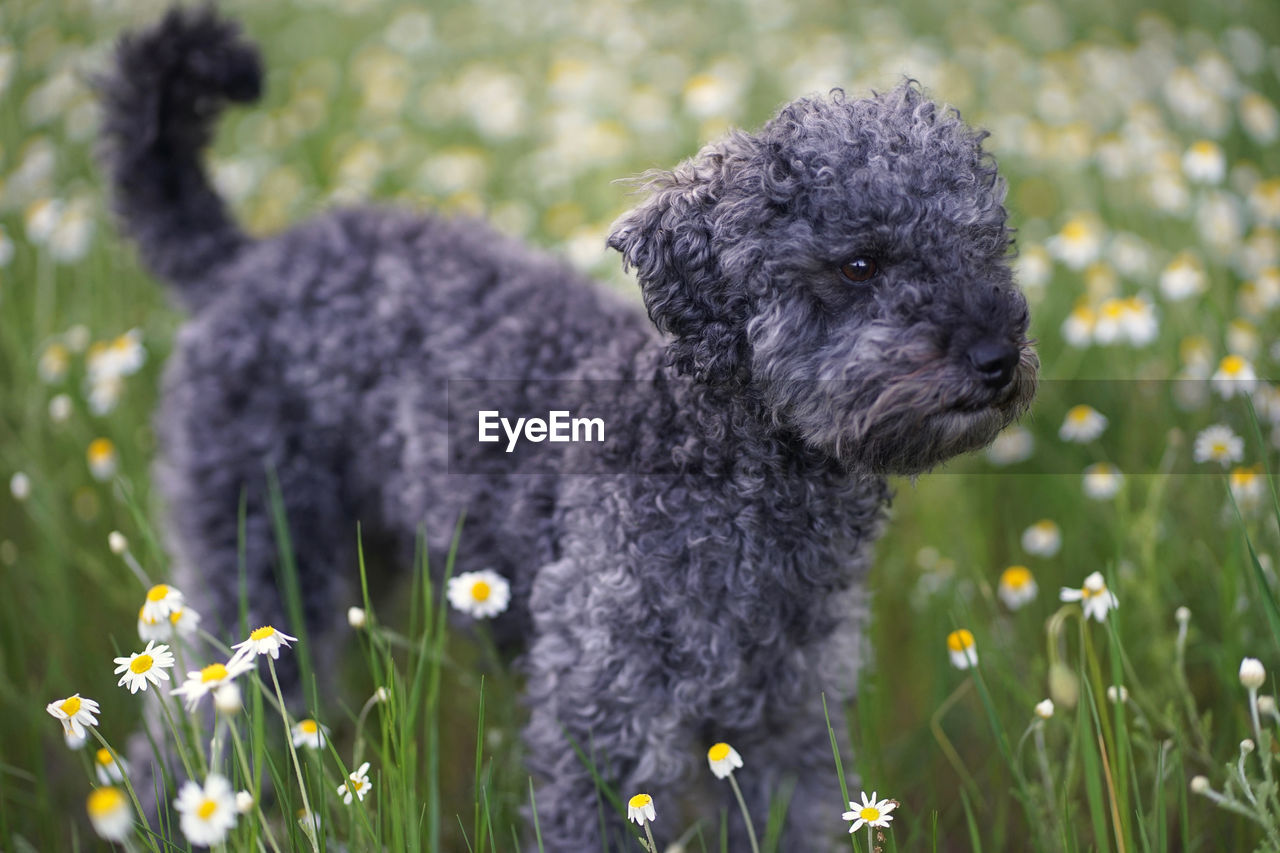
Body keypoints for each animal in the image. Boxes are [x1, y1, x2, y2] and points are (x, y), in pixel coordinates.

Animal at [99, 8, 1039, 850]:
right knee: (187, 748)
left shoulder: (788, 724)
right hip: (260, 571)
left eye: (984, 248)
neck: (718, 463)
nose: (997, 356)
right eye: (859, 264)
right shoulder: (605, 722)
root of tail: (241, 263)